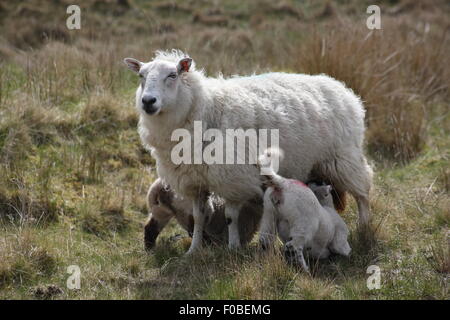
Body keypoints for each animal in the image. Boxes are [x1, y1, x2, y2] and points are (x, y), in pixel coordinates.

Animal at [123, 49, 372, 255]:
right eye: (141, 76)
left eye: (172, 75)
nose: (148, 101)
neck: (203, 108)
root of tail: (341, 88)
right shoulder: (195, 181)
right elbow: (199, 218)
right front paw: (193, 251)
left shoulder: (233, 178)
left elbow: (231, 217)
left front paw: (233, 249)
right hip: (318, 166)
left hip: (344, 158)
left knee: (363, 192)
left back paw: (364, 227)